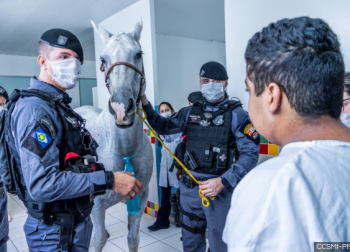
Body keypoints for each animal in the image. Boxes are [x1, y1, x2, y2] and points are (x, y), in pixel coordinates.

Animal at [75, 20, 153, 252]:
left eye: (138, 54)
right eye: (103, 59)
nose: (120, 108)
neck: (124, 148)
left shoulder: (141, 196)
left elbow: (133, 238)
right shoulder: (97, 205)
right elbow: (98, 239)